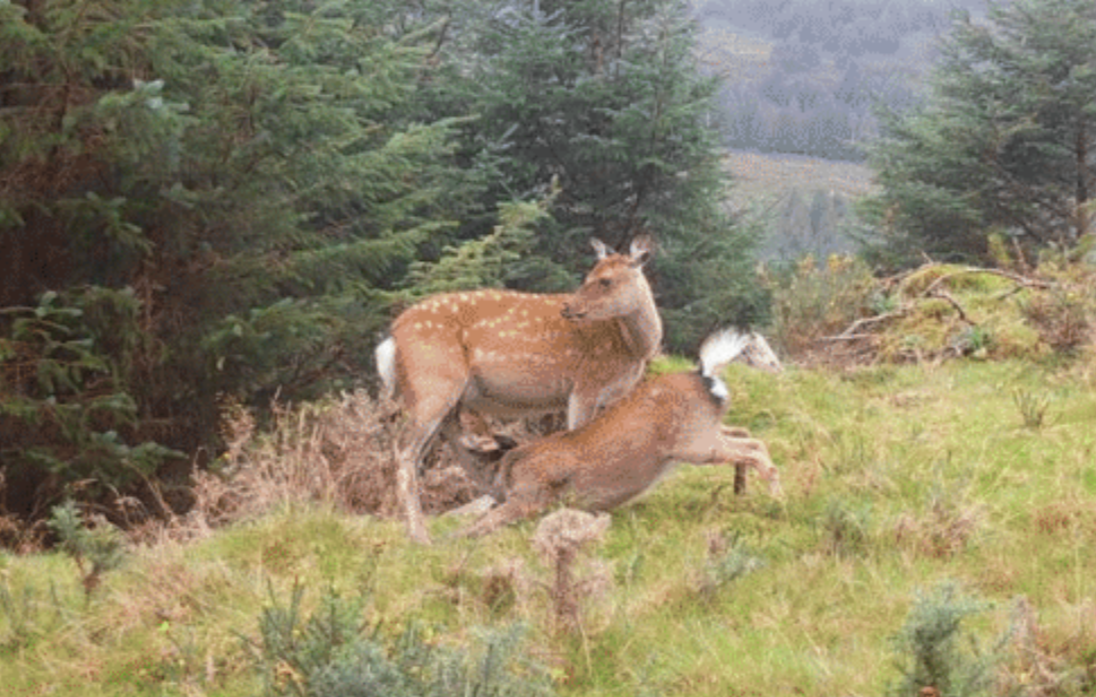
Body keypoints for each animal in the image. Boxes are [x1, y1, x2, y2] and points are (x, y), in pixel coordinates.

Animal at [376, 237, 662, 543]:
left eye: (606, 280)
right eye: (589, 276)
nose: (568, 307)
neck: (634, 348)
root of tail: (391, 338)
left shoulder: (612, 394)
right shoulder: (585, 384)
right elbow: (578, 436)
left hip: (442, 399)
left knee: (452, 449)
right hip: (432, 384)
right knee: (405, 451)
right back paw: (419, 536)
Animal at [457, 328, 784, 538]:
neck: (505, 472)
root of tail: (705, 376)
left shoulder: (531, 495)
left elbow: (478, 527)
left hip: (693, 441)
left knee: (755, 449)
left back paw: (776, 499)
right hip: (707, 428)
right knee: (747, 435)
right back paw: (741, 490)